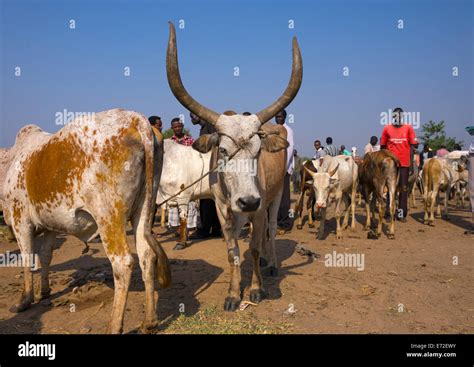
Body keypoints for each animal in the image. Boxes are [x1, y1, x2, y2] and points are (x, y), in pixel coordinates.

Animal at [0, 109, 171, 334]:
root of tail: (136, 119)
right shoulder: (50, 225)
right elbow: (45, 256)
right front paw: (43, 291)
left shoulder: (20, 220)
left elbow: (28, 258)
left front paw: (24, 300)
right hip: (144, 210)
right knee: (147, 256)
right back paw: (149, 321)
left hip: (108, 215)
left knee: (123, 263)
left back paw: (114, 326)